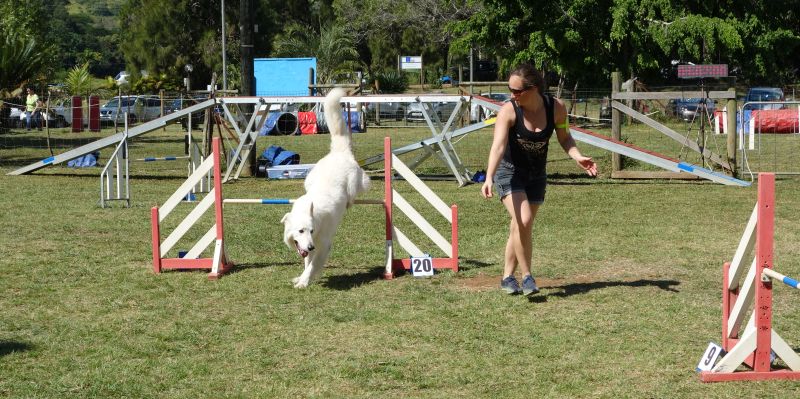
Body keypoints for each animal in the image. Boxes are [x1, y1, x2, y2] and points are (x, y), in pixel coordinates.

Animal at [280, 88, 370, 288]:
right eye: (301, 231)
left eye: (311, 230)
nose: (311, 246)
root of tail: (339, 152)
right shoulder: (308, 246)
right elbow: (307, 261)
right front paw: (303, 277)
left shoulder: (323, 245)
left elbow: (312, 265)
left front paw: (304, 281)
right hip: (309, 179)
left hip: (355, 184)